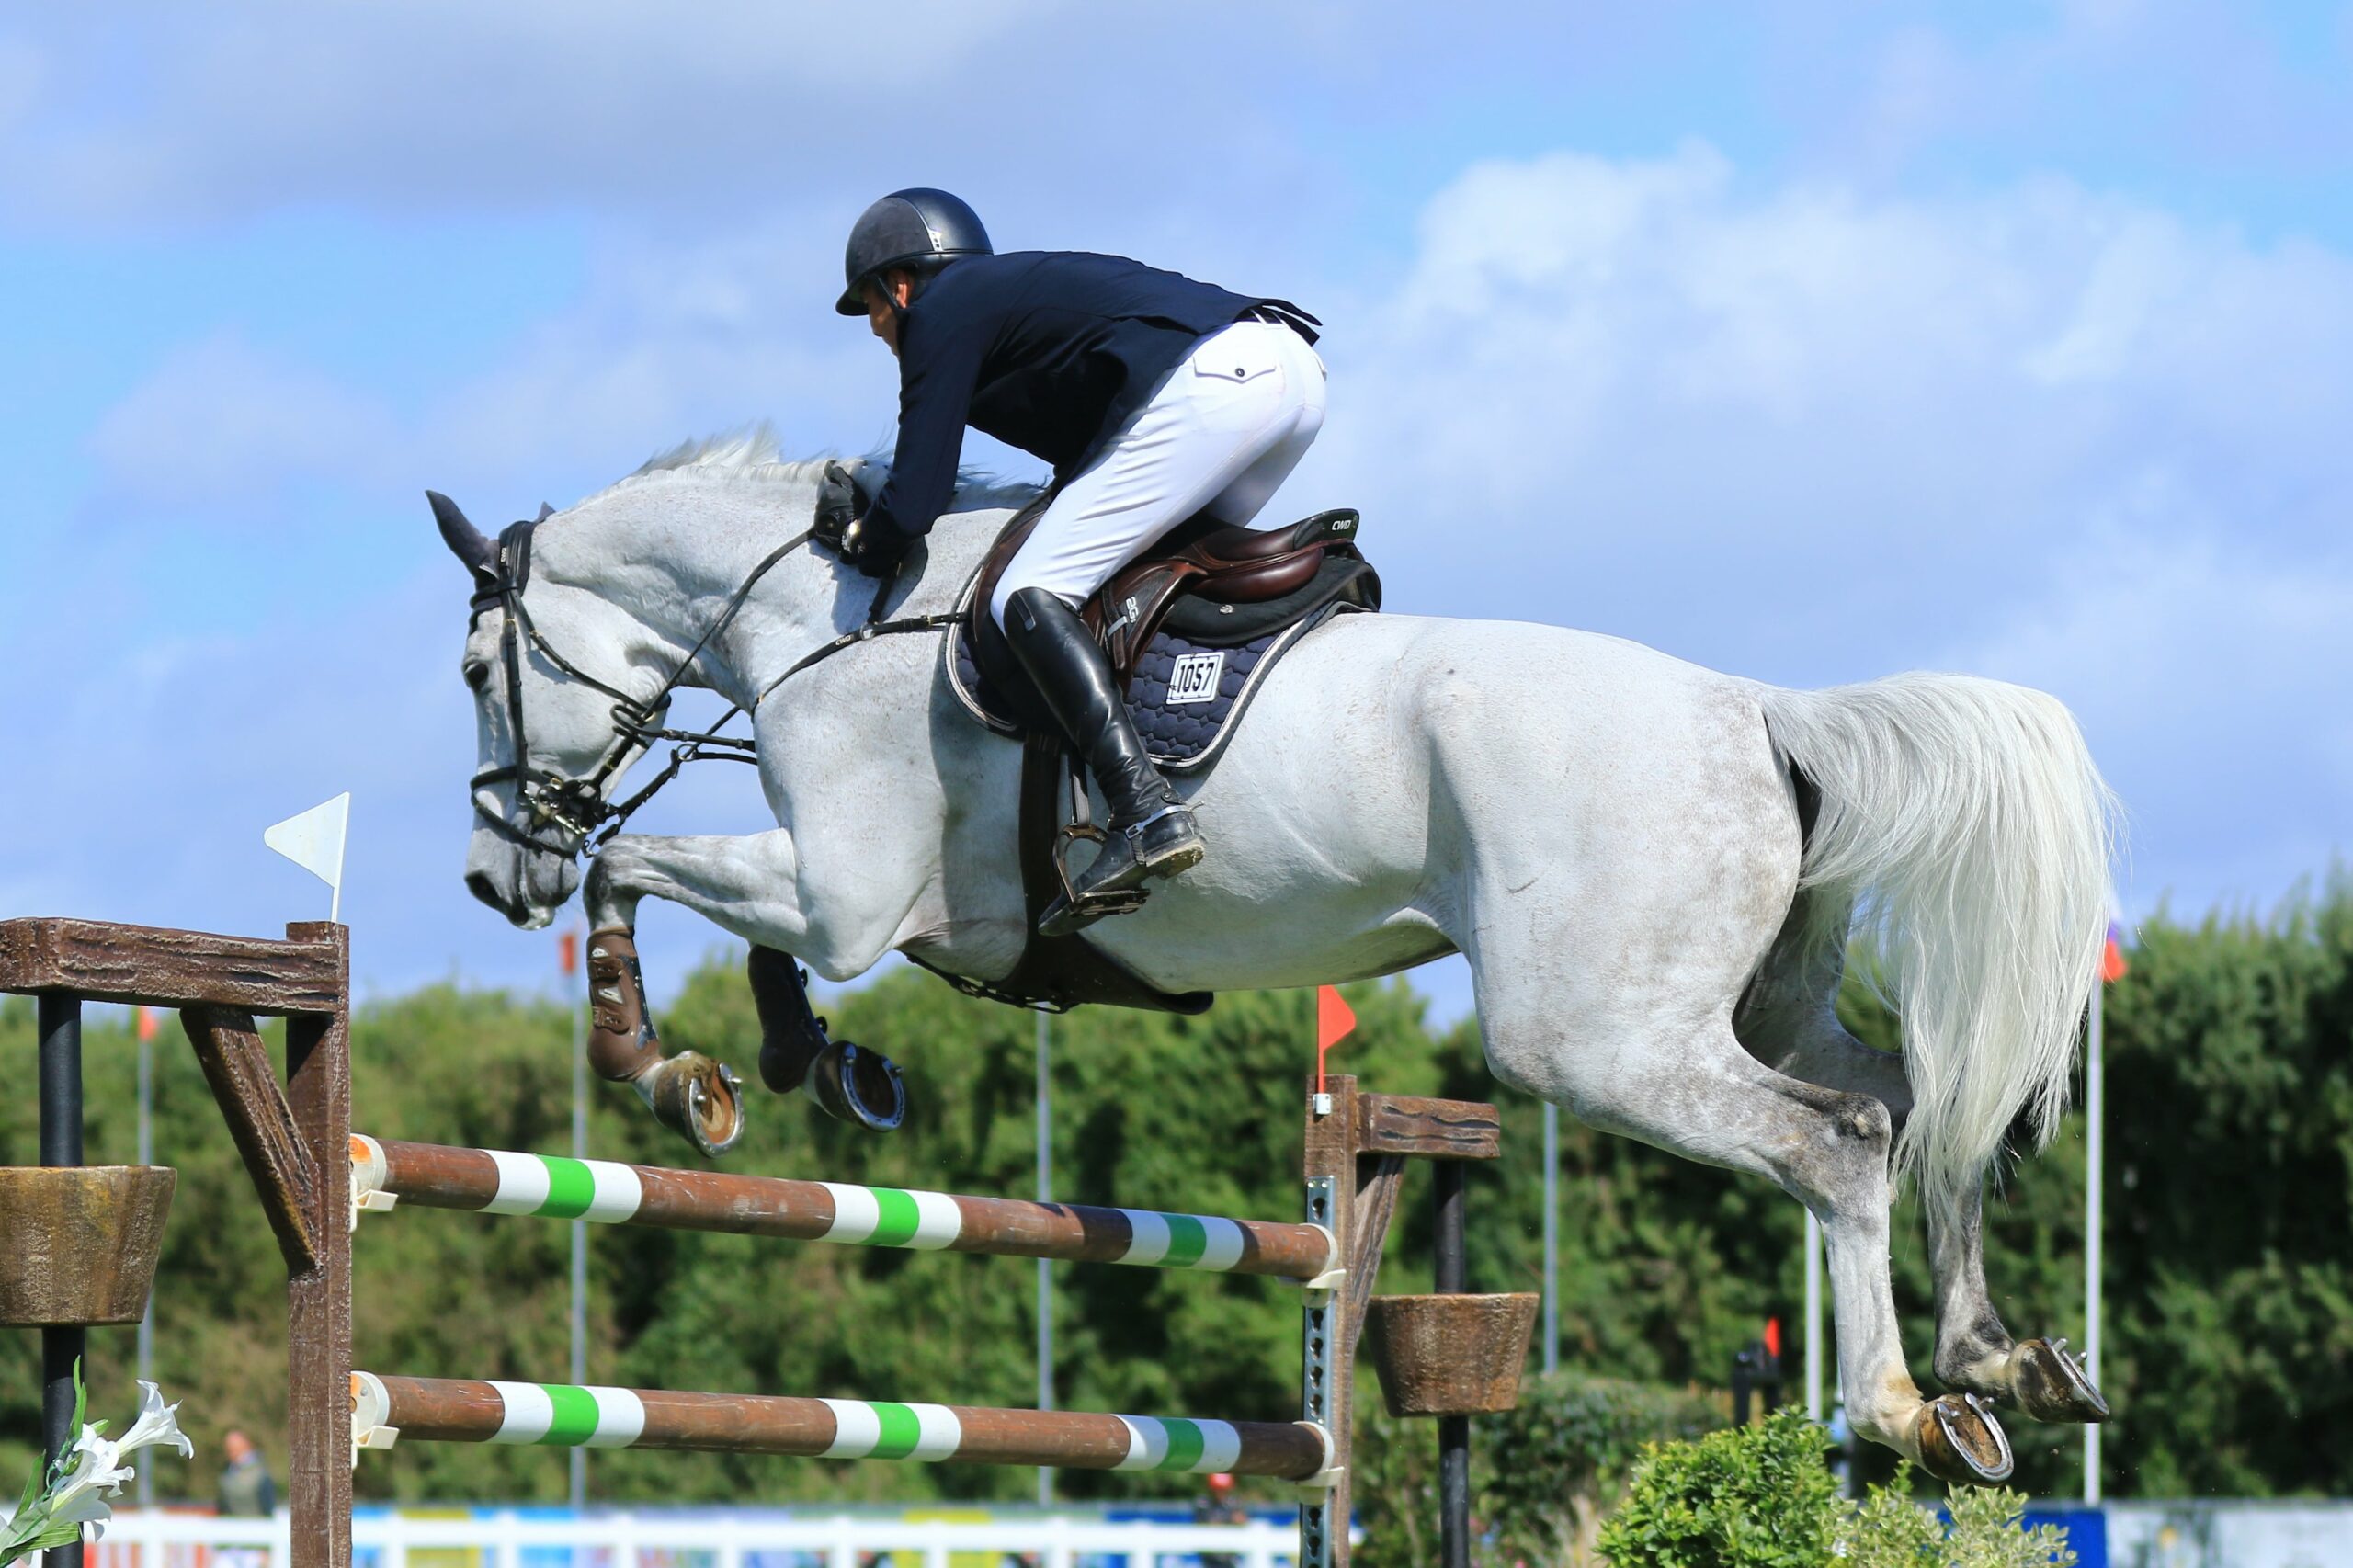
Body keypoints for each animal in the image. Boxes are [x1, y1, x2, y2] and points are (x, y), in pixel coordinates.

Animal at [438, 430, 2118, 1478]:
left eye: (471, 667)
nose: (490, 872)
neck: (833, 616)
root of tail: (1766, 712)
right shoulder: (867, 905)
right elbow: (721, 922)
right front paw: (802, 1059)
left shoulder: (844, 893)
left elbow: (642, 867)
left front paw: (657, 1061)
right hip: (1744, 1002)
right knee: (1911, 1098)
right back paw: (1998, 1356)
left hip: (1595, 1035)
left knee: (1836, 1141)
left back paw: (1902, 1408)